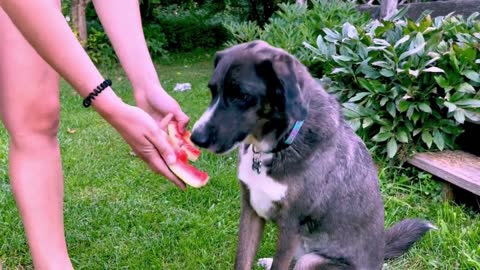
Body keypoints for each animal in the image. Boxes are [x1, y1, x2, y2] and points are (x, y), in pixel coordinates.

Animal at [190, 40, 436, 270]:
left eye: (241, 95)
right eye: (212, 90)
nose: (195, 137)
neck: (279, 144)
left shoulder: (290, 226)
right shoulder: (250, 210)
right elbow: (242, 260)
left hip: (310, 260)